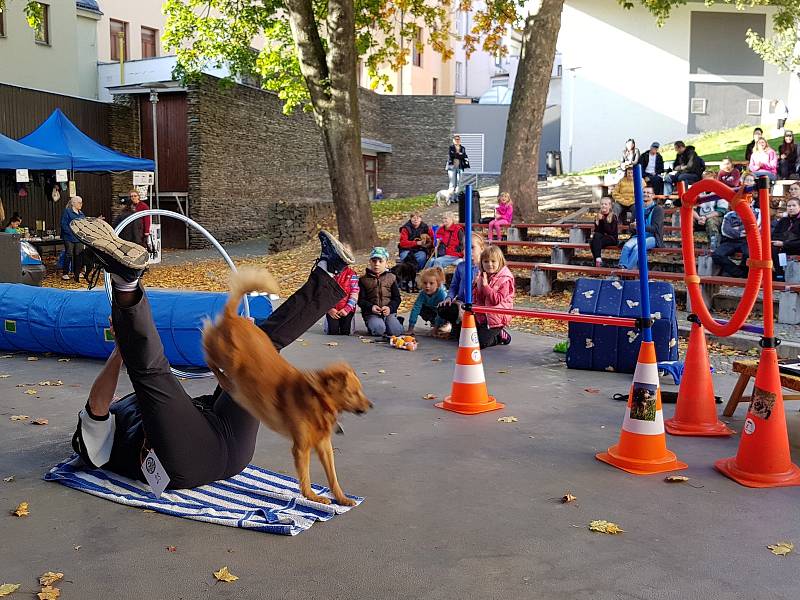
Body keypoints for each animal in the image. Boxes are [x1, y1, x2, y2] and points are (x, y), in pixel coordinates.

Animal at [203, 264, 372, 504]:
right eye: (354, 392)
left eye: (360, 391)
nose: (371, 406)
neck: (318, 398)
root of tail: (232, 317)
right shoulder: (301, 448)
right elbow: (305, 478)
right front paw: (313, 497)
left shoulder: (324, 446)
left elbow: (333, 477)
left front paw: (341, 498)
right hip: (227, 357)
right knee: (207, 354)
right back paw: (225, 379)